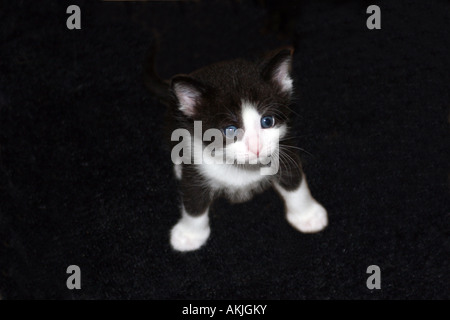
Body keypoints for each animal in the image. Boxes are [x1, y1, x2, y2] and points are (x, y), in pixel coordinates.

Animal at [144, 41, 326, 251]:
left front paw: (308, 216)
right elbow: (193, 200)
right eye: (230, 130)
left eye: (267, 121)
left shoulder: (284, 145)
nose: (256, 148)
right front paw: (189, 236)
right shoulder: (195, 163)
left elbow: (295, 181)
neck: (241, 167)